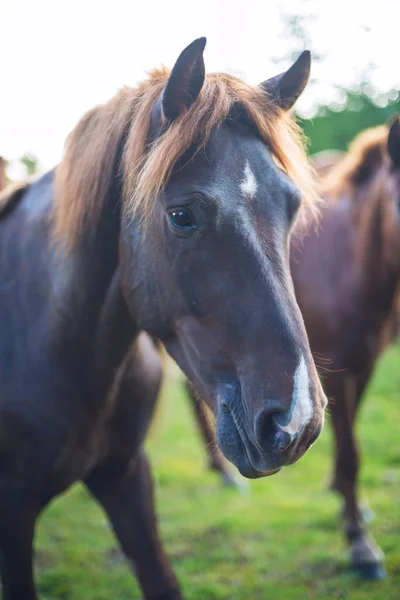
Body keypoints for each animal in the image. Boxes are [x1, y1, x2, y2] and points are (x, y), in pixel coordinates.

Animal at [187, 117, 400, 580]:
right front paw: (360, 543)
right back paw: (223, 473)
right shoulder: (335, 370)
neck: (348, 263)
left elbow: (346, 442)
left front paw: (345, 502)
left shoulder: (362, 366)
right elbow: (350, 453)